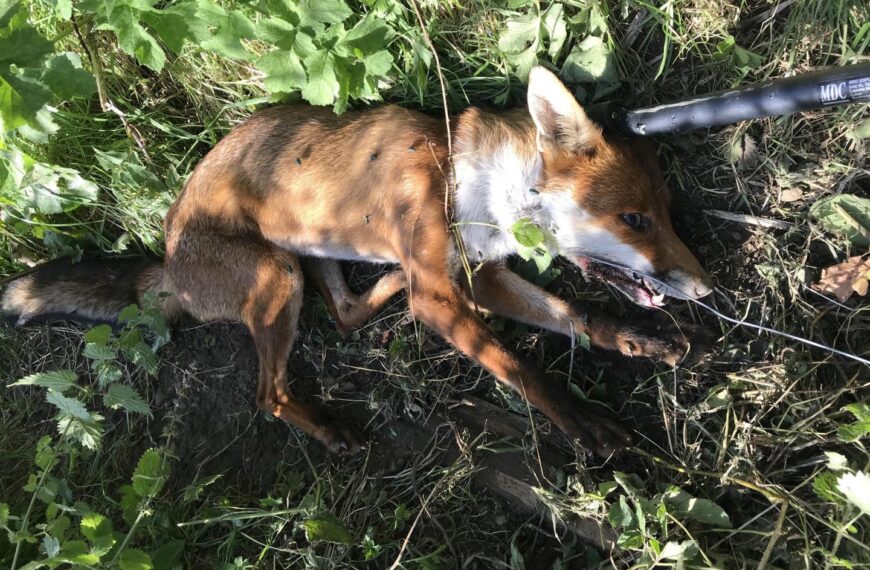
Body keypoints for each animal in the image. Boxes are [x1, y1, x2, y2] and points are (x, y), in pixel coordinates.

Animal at [2, 66, 713, 457]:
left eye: (666, 214)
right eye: (636, 219)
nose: (704, 288)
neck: (468, 179)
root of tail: (167, 261)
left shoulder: (480, 275)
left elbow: (575, 315)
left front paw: (639, 339)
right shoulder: (443, 296)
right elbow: (523, 370)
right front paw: (582, 423)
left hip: (310, 259)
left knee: (344, 314)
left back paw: (387, 280)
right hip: (278, 276)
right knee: (269, 396)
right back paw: (328, 429)